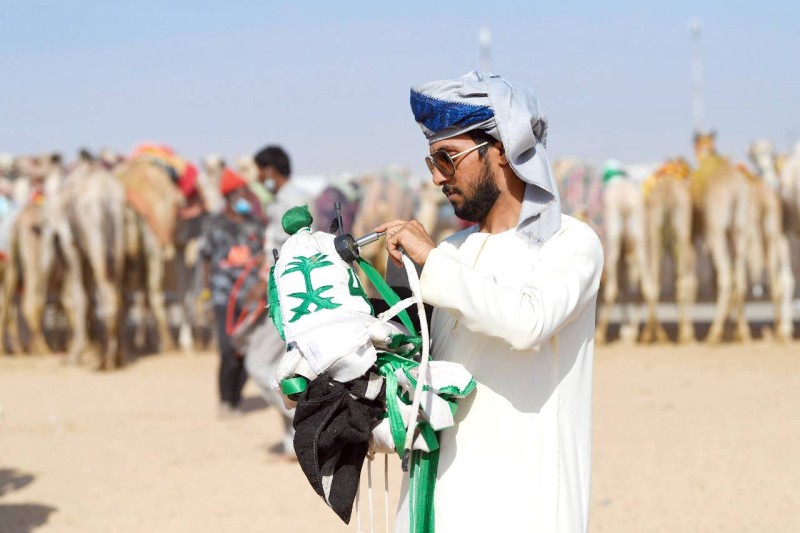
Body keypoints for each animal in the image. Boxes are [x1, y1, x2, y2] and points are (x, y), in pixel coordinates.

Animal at [592, 160, 656, 342]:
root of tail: (626, 202)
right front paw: (627, 331)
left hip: (613, 240)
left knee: (613, 288)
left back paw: (600, 333)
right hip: (640, 240)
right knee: (647, 286)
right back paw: (649, 334)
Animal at [640, 158, 696, 342]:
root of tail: (667, 192)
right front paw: (688, 331)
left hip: (653, 234)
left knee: (653, 282)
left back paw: (651, 334)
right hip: (680, 236)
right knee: (683, 282)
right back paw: (684, 334)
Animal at [692, 131, 752, 342]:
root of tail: (734, 190)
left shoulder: (705, 234)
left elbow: (713, 277)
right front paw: (732, 329)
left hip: (717, 230)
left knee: (726, 277)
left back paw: (714, 333)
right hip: (740, 230)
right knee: (740, 278)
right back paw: (743, 332)